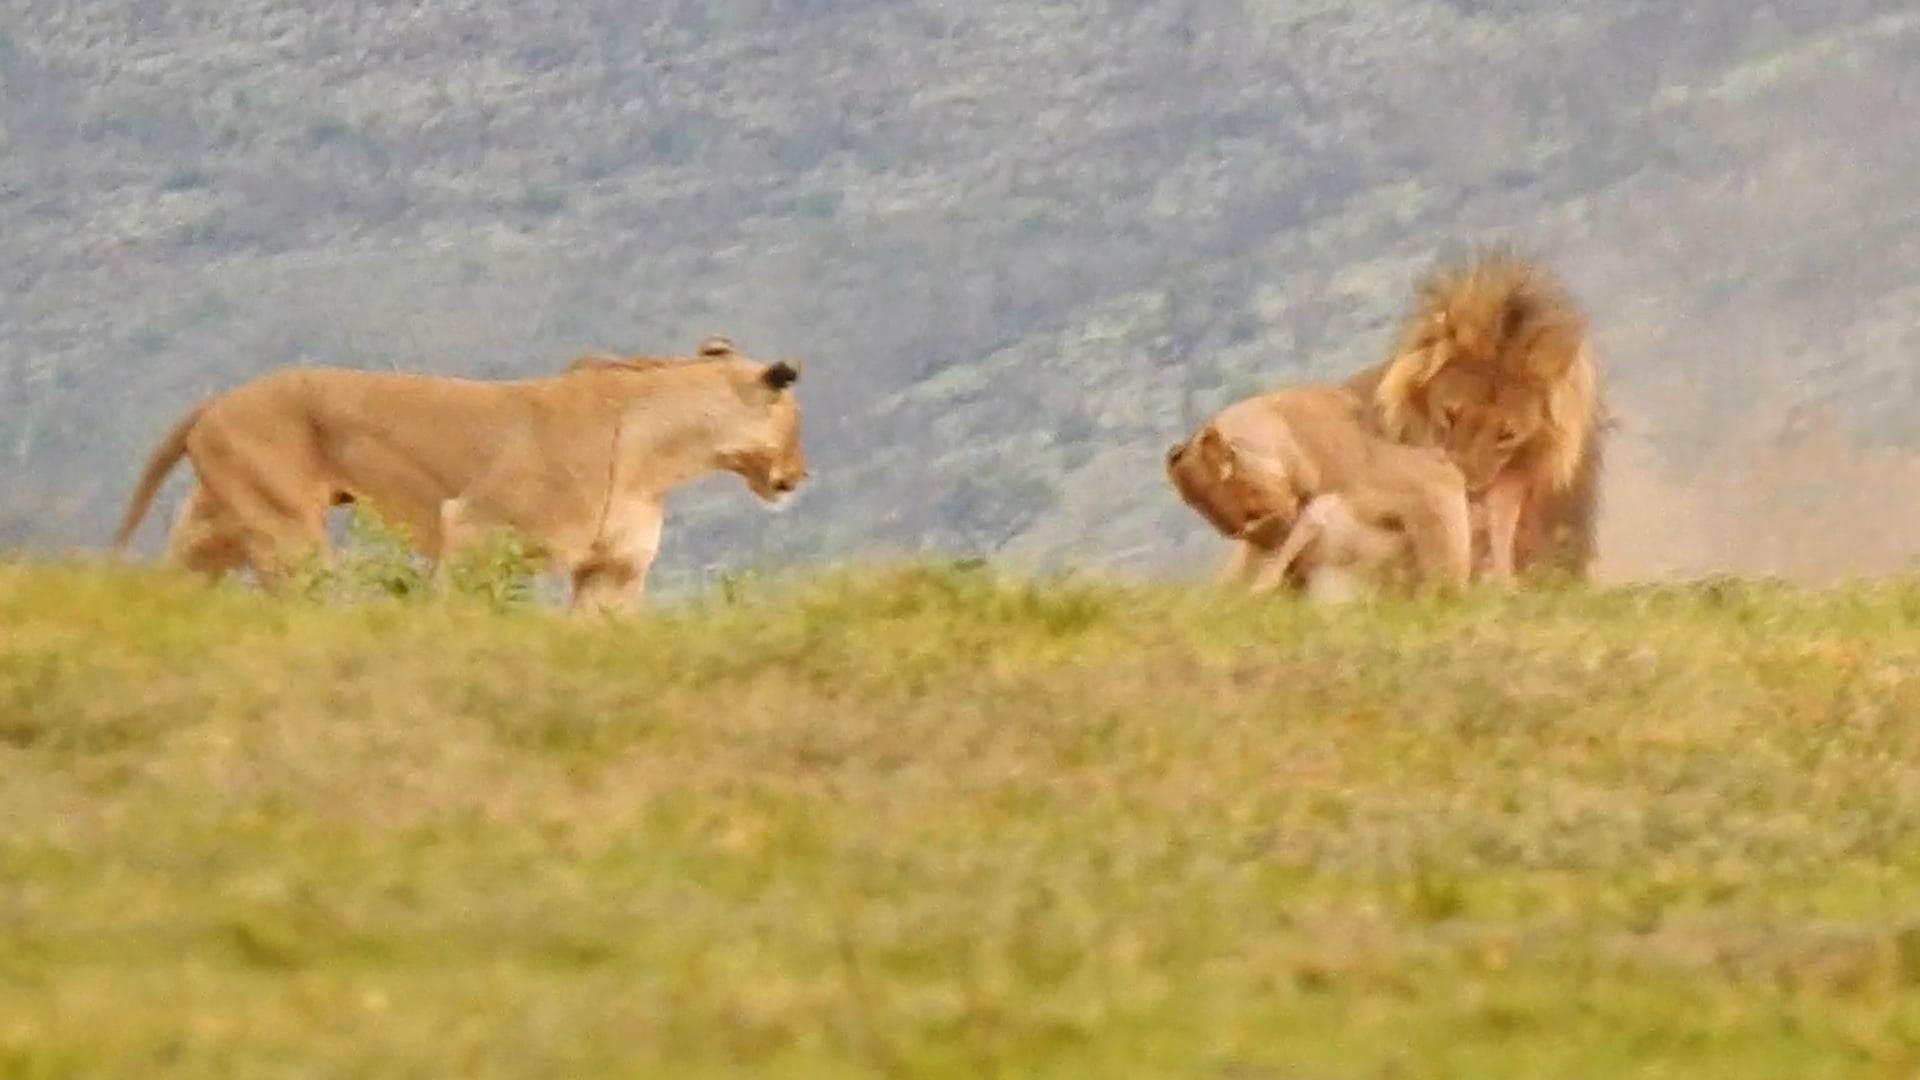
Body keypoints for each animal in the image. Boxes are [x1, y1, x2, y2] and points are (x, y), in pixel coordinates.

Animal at [110, 337, 808, 613]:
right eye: (798, 420)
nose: (800, 475)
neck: (662, 453)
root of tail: (215, 400)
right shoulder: (477, 529)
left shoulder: (613, 569)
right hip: (287, 530)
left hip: (217, 526)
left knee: (167, 583)